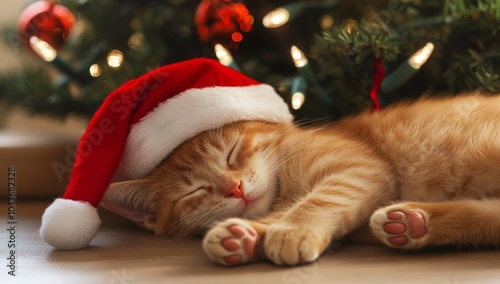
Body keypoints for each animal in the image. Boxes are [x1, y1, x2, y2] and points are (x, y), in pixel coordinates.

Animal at [100, 92, 500, 266]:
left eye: (232, 154)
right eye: (193, 192)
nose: (235, 188)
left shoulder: (358, 169)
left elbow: (319, 200)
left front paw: (293, 231)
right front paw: (244, 237)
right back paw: (414, 222)